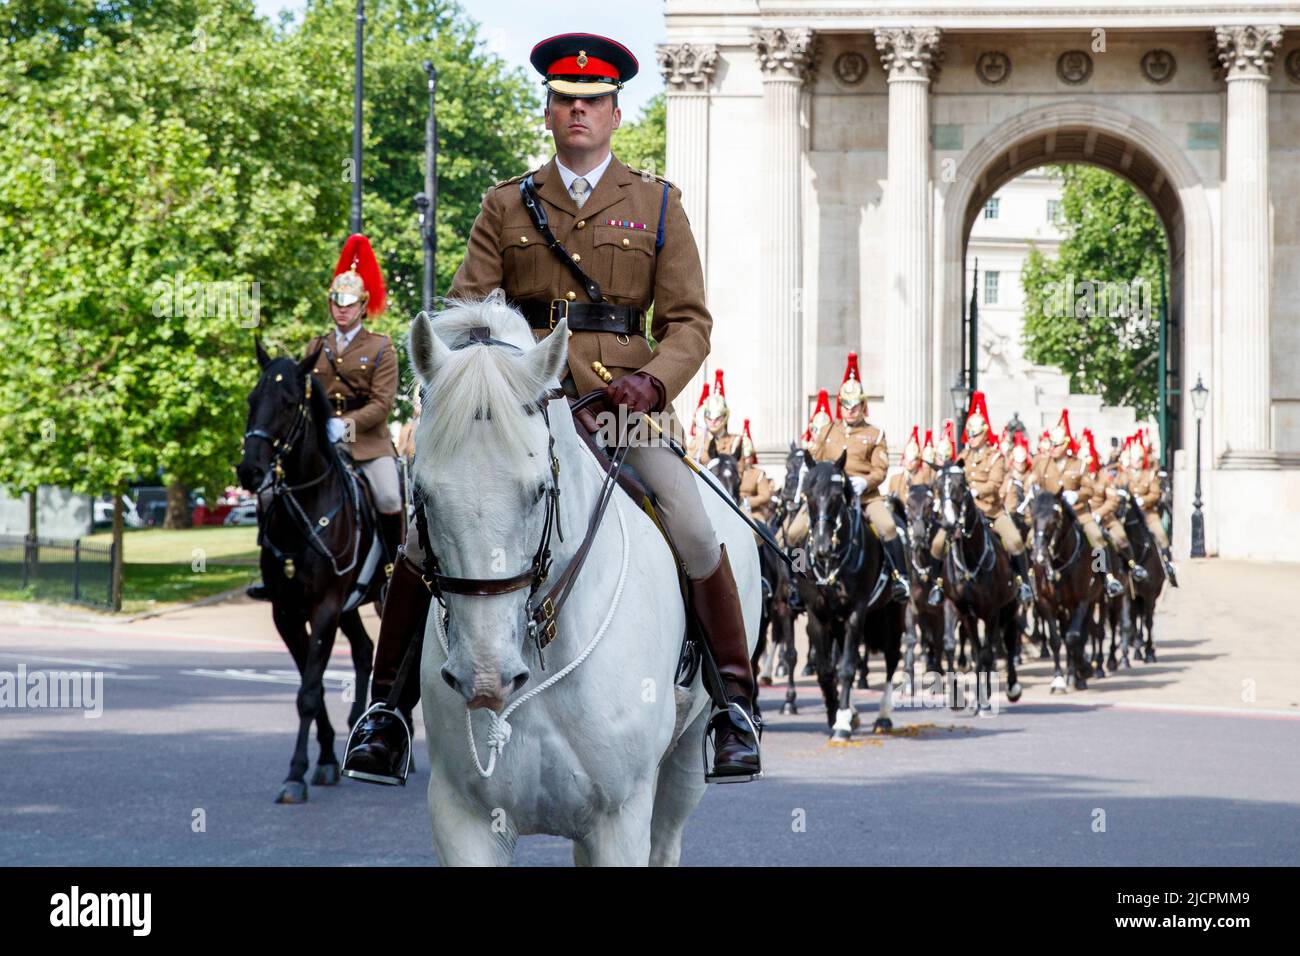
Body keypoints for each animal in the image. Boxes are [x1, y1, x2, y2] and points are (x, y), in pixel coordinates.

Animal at [236, 340, 384, 806]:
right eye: (252, 399)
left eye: (287, 403)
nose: (249, 470)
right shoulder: (287, 612)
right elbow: (310, 686)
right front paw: (323, 759)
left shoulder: (323, 608)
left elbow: (308, 691)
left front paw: (296, 773)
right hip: (351, 606)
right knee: (364, 650)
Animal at [408, 297, 759, 868]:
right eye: (422, 492)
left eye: (538, 490)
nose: (486, 676)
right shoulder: (463, 820)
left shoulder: (621, 820)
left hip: (685, 759)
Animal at [790, 450, 904, 738]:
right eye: (808, 494)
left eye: (836, 496)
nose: (821, 547)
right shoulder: (817, 614)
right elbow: (826, 670)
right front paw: (836, 715)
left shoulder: (856, 611)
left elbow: (848, 668)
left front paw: (841, 723)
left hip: (893, 612)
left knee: (892, 656)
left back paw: (883, 716)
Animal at [935, 463, 1024, 712]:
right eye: (937, 486)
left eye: (960, 485)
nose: (948, 524)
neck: (969, 557)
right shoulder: (957, 607)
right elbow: (952, 645)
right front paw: (958, 696)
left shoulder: (992, 610)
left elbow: (985, 653)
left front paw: (983, 698)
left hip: (1010, 608)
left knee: (1007, 642)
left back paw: (1012, 688)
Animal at [1029, 496, 1102, 691]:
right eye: (1033, 519)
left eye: (1054, 520)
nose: (1039, 556)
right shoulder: (1046, 603)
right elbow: (1056, 640)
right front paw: (1058, 679)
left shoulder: (1081, 602)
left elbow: (1073, 637)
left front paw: (1081, 672)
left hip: (1091, 602)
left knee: (1081, 634)